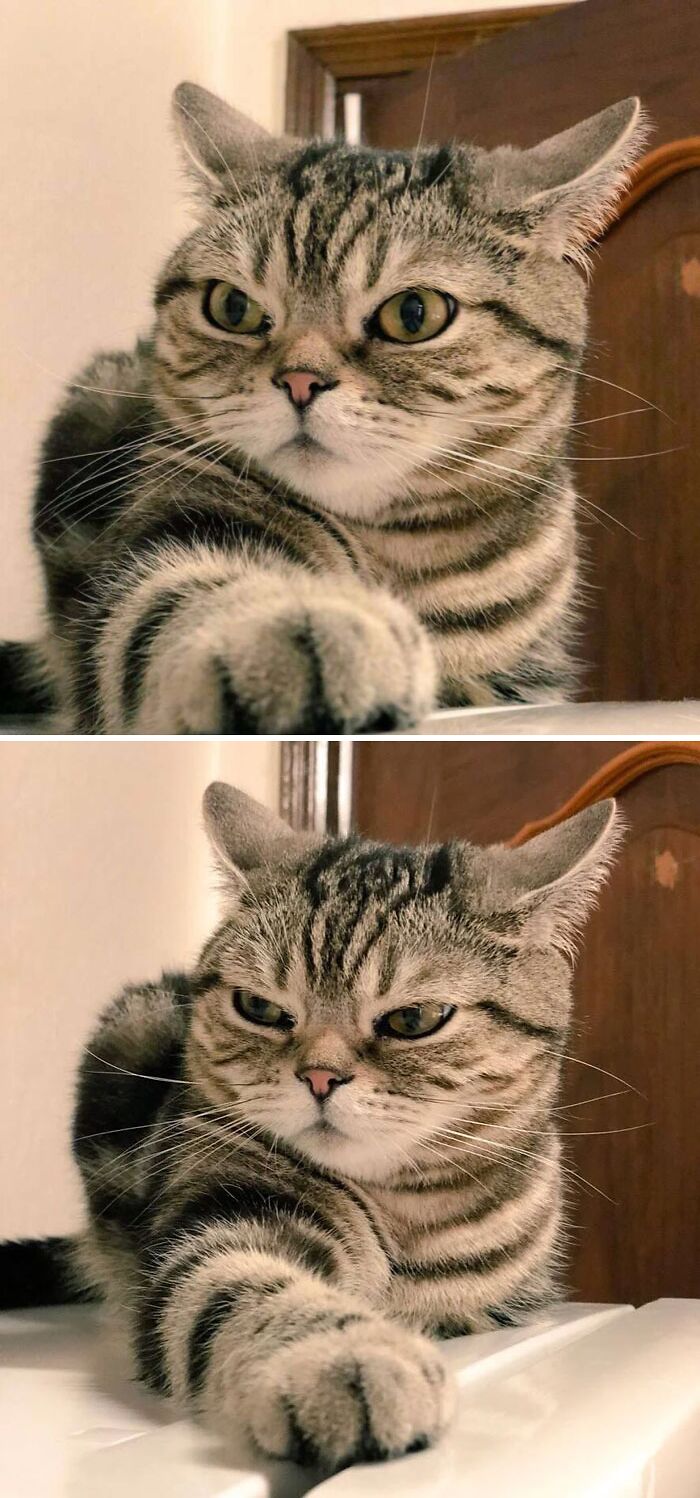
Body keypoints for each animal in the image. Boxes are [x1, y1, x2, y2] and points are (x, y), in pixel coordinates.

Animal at [2, 86, 644, 731]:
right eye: (232, 307)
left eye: (414, 313)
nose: (300, 381)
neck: (391, 551)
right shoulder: (162, 541)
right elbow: (171, 605)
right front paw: (312, 637)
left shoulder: (527, 675)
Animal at [2, 784, 620, 1474]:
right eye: (260, 1008)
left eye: (414, 1019)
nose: (320, 1077)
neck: (401, 1219)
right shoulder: (222, 1213)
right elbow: (248, 1290)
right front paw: (350, 1361)